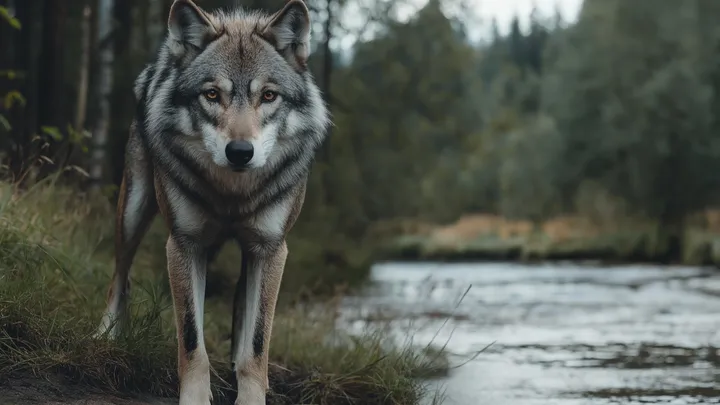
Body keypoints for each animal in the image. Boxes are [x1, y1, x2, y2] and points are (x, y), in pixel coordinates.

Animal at [95, 0, 330, 404]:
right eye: (212, 95)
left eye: (269, 96)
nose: (240, 152)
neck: (231, 195)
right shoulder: (184, 244)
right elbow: (191, 337)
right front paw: (194, 395)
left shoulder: (270, 249)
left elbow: (256, 341)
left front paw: (251, 392)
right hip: (133, 210)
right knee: (119, 277)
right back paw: (106, 334)